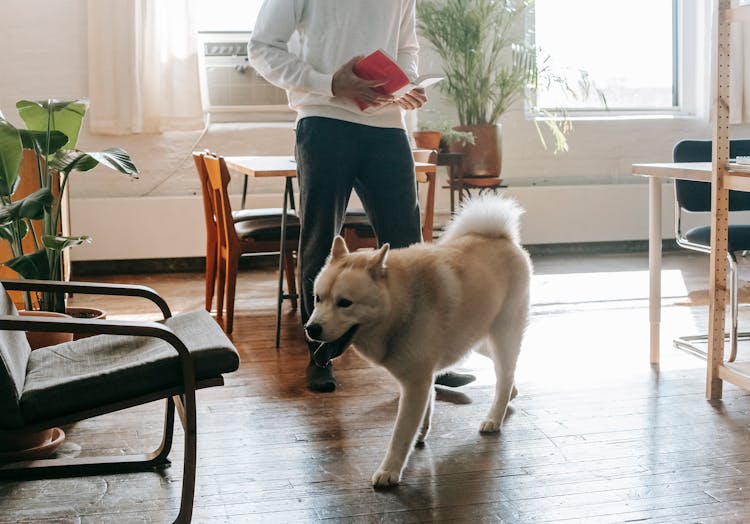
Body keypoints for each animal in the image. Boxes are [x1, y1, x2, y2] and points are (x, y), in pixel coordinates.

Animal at [306, 195, 536, 488]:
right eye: (318, 299)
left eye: (345, 303)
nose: (311, 328)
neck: (401, 304)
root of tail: (502, 237)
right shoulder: (424, 375)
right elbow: (429, 402)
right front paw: (421, 434)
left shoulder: (415, 383)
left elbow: (401, 433)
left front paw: (390, 470)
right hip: (477, 339)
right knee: (506, 371)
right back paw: (511, 394)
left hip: (502, 335)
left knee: (505, 373)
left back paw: (495, 416)